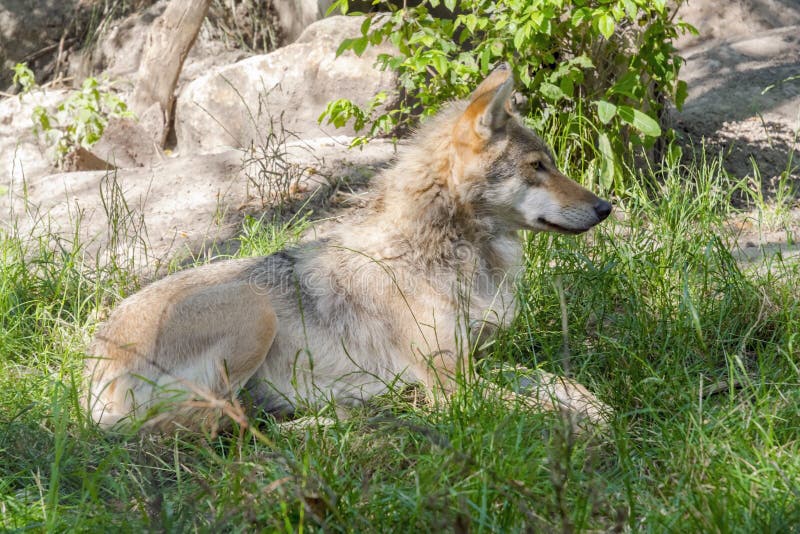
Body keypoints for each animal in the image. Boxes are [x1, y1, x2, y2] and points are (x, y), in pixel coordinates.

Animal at [86, 66, 612, 436]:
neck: (445, 253)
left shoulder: (475, 360)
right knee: (202, 428)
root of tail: (94, 369)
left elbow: (559, 383)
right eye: (537, 166)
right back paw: (343, 419)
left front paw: (600, 406)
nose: (605, 207)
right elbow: (533, 407)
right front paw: (592, 424)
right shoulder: (452, 385)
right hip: (254, 310)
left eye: (550, 163)